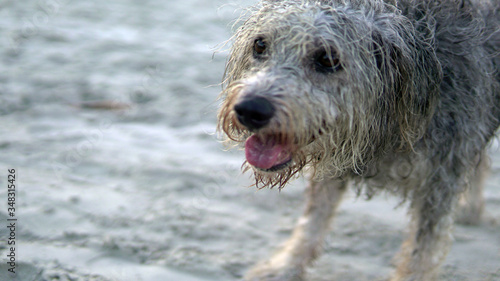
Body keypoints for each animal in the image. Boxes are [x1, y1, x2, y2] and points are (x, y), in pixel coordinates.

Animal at [217, 0, 498, 278]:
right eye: (260, 45)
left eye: (328, 58)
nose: (250, 109)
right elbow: (312, 220)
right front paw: (285, 266)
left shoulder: (441, 178)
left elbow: (423, 254)